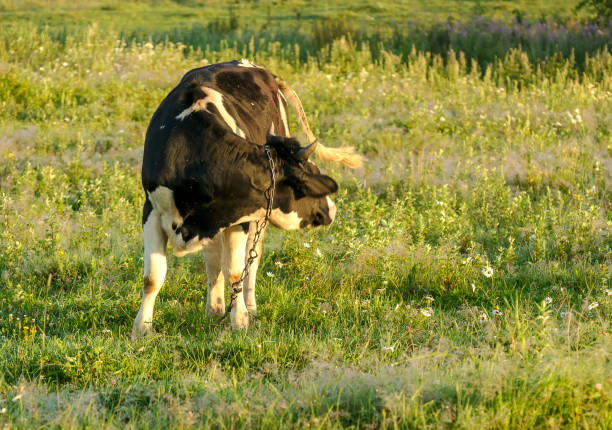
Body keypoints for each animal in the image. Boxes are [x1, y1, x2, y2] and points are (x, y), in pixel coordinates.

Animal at [131, 58, 360, 338]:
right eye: (310, 181)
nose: (332, 209)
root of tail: (260, 69)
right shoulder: (152, 210)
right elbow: (153, 277)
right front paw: (142, 328)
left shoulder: (240, 216)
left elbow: (235, 271)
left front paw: (240, 319)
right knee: (213, 260)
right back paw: (214, 308)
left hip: (258, 220)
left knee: (252, 259)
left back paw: (248, 306)